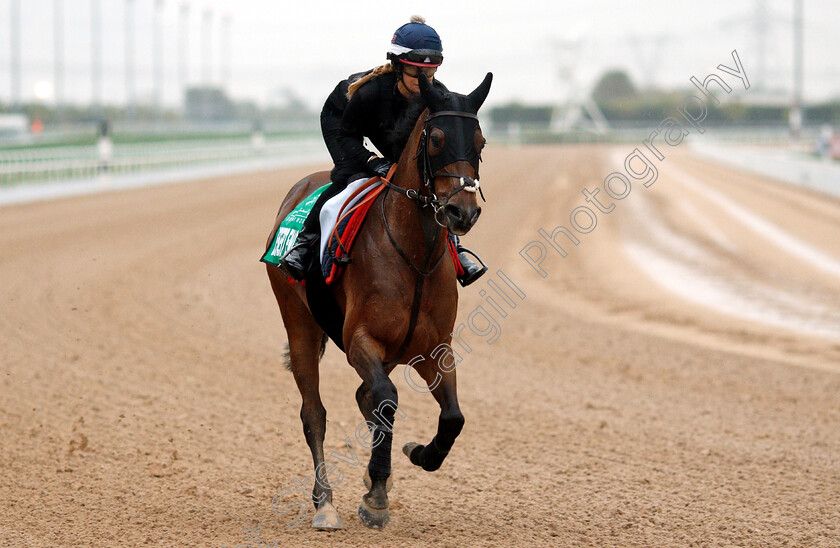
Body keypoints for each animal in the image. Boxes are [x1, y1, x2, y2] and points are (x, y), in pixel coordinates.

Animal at [264, 70, 492, 528]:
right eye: (436, 138)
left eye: (480, 142)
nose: (462, 212)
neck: (415, 255)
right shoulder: (360, 341)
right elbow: (386, 400)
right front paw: (375, 497)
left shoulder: (436, 349)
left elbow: (452, 417)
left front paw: (415, 457)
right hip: (298, 323)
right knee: (315, 413)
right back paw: (325, 503)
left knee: (363, 399)